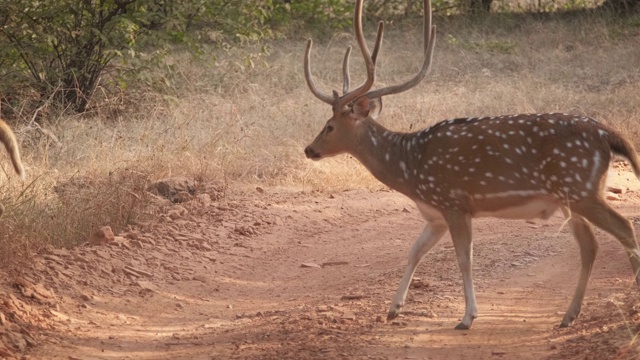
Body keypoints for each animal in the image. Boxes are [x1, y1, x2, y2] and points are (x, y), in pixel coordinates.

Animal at [302, 0, 640, 330]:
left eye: (329, 126)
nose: (309, 149)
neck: (409, 167)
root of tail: (609, 134)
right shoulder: (435, 214)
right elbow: (414, 251)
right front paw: (393, 310)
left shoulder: (453, 202)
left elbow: (464, 258)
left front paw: (467, 317)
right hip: (571, 197)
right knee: (590, 245)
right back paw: (568, 316)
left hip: (581, 188)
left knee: (624, 227)